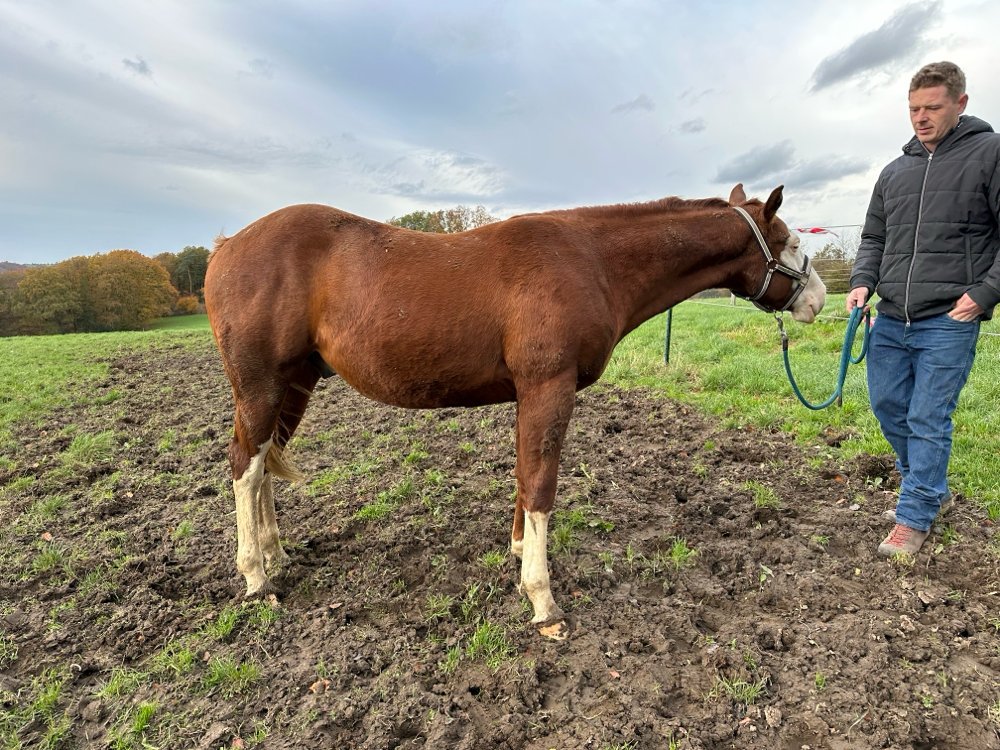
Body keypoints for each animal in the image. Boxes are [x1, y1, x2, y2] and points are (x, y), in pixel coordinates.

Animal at [207, 182, 824, 636]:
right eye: (792, 241)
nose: (819, 300)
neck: (591, 260)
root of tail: (226, 246)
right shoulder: (550, 387)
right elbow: (542, 483)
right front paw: (543, 601)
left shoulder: (530, 394)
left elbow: (524, 478)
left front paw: (520, 549)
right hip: (261, 385)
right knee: (245, 466)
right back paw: (257, 578)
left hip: (294, 384)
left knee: (263, 463)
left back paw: (275, 554)